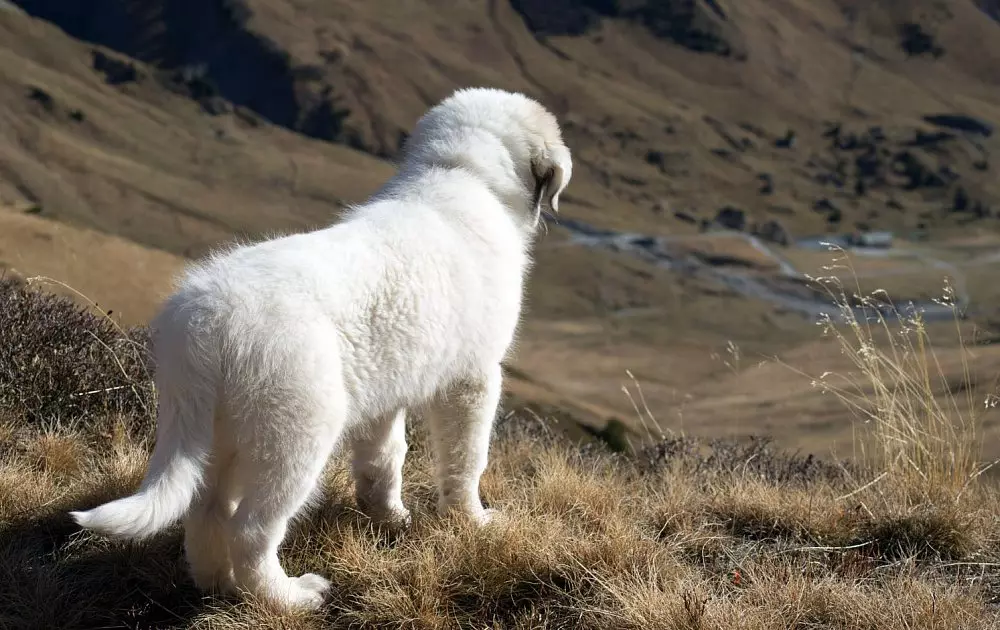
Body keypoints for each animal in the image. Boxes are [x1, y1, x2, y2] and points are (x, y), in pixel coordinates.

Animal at [68, 87, 572, 612]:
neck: (459, 171)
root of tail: (205, 320)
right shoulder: (472, 379)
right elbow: (466, 459)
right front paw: (472, 522)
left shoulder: (385, 389)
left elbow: (384, 457)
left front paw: (388, 518)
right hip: (296, 427)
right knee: (250, 529)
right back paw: (290, 597)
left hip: (215, 423)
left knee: (206, 510)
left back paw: (219, 587)